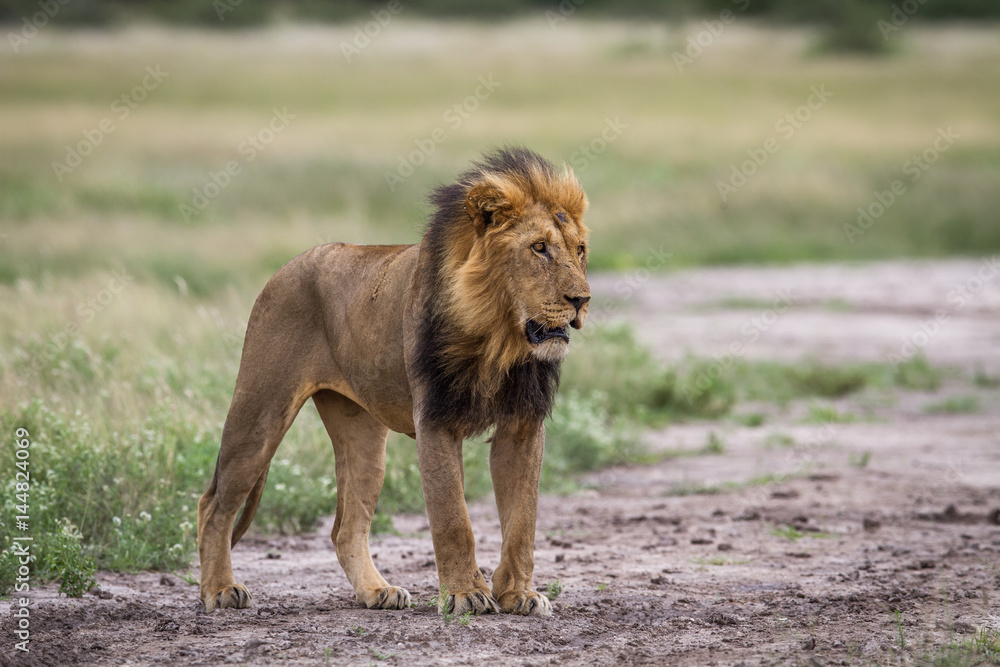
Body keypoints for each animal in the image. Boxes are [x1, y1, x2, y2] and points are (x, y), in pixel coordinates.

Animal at [197, 147, 590, 617]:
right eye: (539, 248)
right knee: (214, 505)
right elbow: (453, 518)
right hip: (260, 411)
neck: (498, 338)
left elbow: (522, 521)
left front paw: (520, 595)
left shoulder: (523, 425)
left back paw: (377, 590)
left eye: (580, 250)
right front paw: (465, 594)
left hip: (363, 437)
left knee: (345, 528)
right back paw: (220, 590)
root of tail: (286, 267)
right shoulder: (436, 420)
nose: (582, 300)